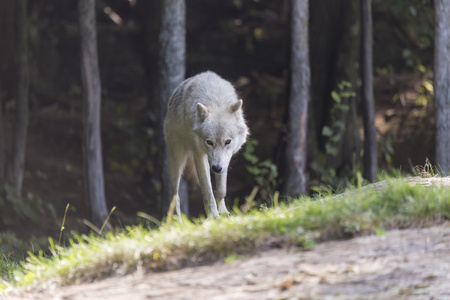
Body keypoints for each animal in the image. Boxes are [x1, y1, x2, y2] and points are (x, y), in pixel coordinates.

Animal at [164, 71, 250, 219]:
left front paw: (224, 213)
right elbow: (208, 192)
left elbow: (220, 190)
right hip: (176, 162)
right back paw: (178, 222)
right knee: (175, 197)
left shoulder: (225, 159)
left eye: (227, 142)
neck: (216, 101)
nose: (216, 168)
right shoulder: (199, 155)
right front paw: (214, 216)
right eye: (209, 142)